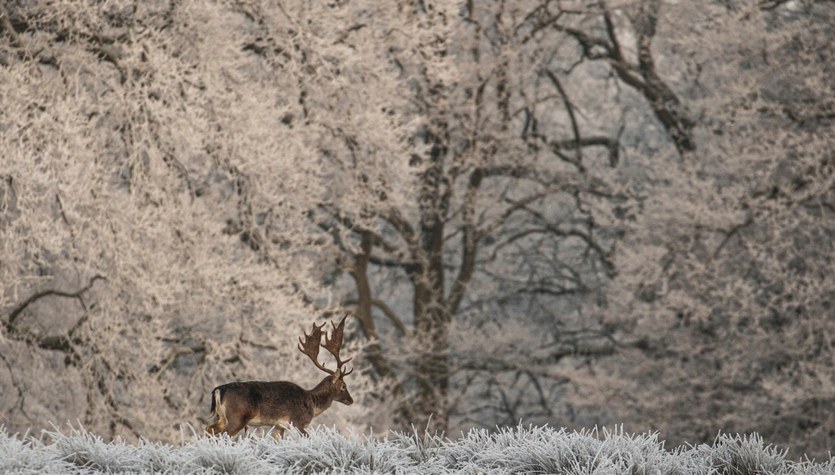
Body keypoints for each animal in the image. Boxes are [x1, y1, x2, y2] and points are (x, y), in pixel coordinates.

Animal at [208, 316, 356, 438]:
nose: (351, 400)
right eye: (344, 386)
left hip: (222, 417)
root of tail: (218, 390)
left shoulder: (279, 426)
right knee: (223, 435)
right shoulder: (297, 421)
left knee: (209, 429)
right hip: (237, 416)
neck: (312, 404)